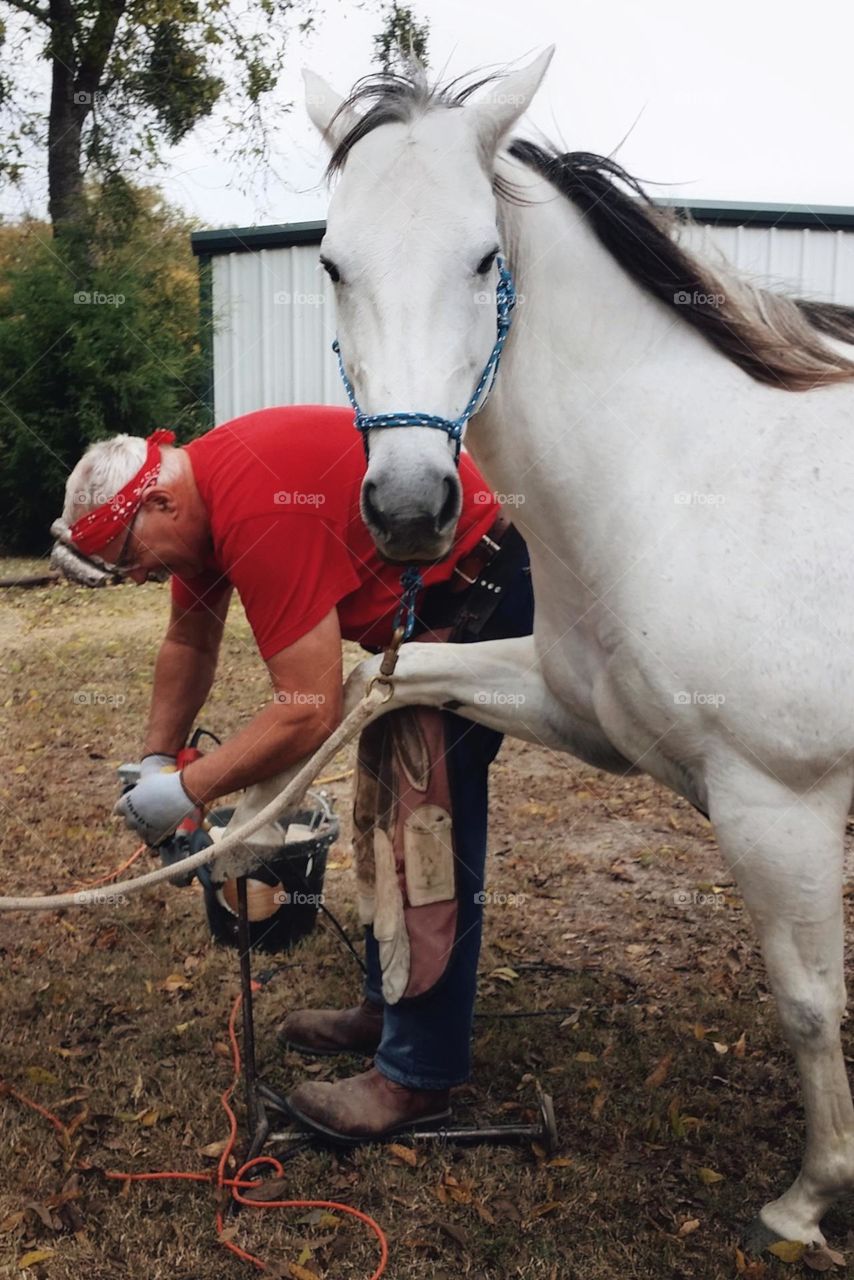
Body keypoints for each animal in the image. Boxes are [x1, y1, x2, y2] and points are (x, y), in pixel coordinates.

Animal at [235, 47, 854, 1239]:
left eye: (484, 259)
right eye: (331, 263)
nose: (411, 508)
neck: (680, 479)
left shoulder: (780, 803)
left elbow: (807, 1004)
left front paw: (807, 1199)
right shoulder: (575, 711)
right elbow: (375, 689)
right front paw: (269, 839)